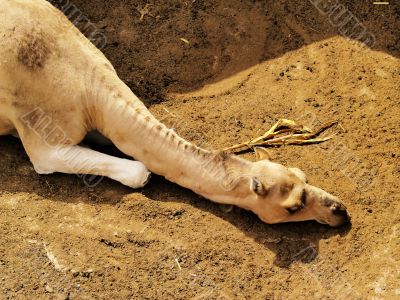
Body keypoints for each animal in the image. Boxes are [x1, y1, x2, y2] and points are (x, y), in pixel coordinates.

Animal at [0, 0, 350, 225]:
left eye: (302, 175)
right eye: (293, 207)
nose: (340, 211)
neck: (91, 89)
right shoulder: (43, 144)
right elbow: (140, 171)